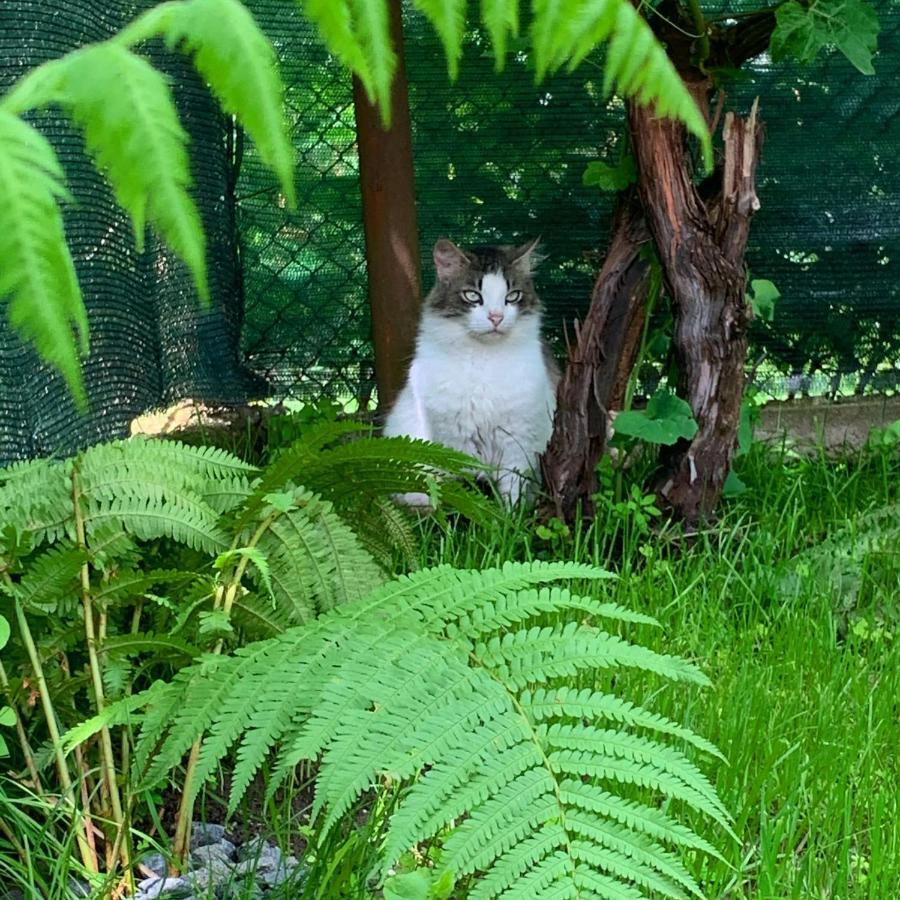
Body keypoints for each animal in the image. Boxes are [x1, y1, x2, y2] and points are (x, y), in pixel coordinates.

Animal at [384, 237, 560, 506]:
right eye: (472, 296)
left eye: (512, 296)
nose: (496, 317)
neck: (484, 358)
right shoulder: (454, 440)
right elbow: (463, 486)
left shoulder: (517, 439)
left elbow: (513, 491)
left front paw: (509, 513)